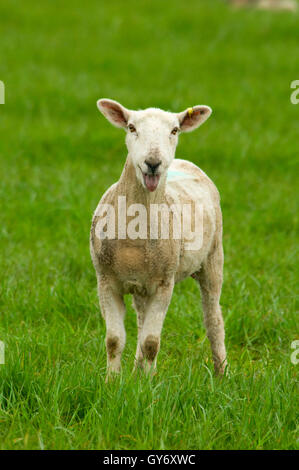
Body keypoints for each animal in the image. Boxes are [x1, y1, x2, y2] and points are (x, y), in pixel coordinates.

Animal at [89, 97, 227, 380]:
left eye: (174, 130)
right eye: (131, 127)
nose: (153, 162)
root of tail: (184, 162)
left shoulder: (165, 283)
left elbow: (152, 342)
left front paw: (151, 383)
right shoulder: (105, 281)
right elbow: (114, 340)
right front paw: (112, 381)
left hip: (213, 257)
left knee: (213, 319)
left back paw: (221, 373)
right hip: (142, 284)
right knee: (141, 321)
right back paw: (136, 371)